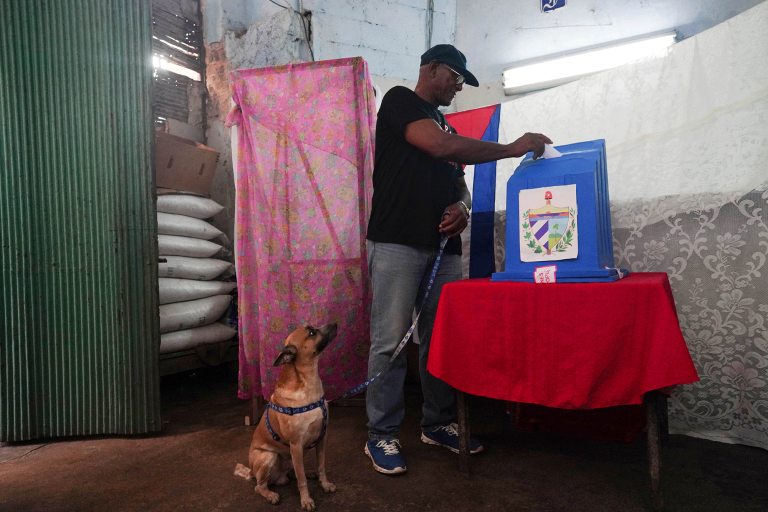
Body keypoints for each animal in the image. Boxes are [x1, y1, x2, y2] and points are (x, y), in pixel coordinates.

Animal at [237, 322, 340, 510]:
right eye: (311, 333)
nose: (335, 323)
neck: (308, 383)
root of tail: (251, 472)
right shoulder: (296, 445)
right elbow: (301, 480)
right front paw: (306, 500)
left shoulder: (323, 438)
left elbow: (321, 466)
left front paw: (325, 484)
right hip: (269, 457)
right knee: (260, 486)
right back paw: (270, 494)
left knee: (294, 472)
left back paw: (309, 472)